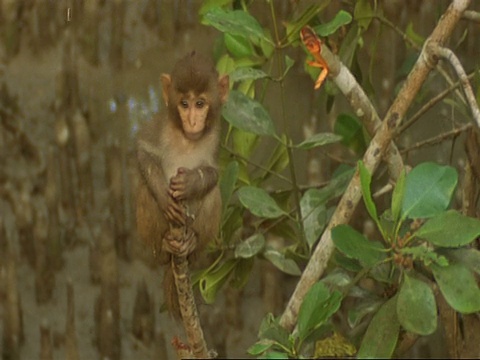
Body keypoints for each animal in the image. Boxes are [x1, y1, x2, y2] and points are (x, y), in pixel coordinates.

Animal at [135, 51, 229, 318]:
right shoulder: (160, 125)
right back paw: (165, 244)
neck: (186, 139)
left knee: (213, 194)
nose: (193, 122)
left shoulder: (215, 135)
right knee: (144, 190)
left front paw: (190, 183)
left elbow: (213, 173)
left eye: (200, 104)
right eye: (184, 104)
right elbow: (144, 152)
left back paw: (192, 243)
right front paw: (165, 198)